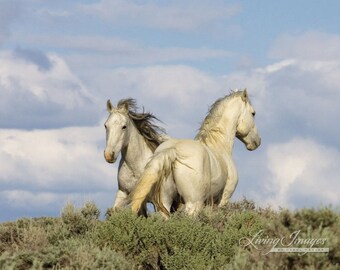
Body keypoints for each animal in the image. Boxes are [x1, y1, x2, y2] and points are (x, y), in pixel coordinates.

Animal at [131, 90, 262, 217]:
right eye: (253, 113)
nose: (257, 141)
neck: (219, 146)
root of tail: (173, 151)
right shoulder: (222, 200)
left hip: (164, 203)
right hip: (193, 204)